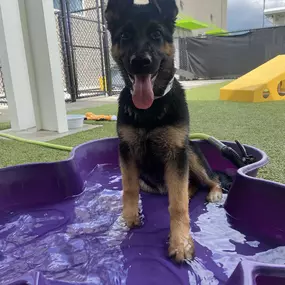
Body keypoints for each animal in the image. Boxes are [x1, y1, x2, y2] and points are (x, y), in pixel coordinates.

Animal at [104, 0, 222, 262]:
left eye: (156, 34)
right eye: (125, 35)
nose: (141, 61)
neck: (151, 108)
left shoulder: (177, 154)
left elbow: (178, 205)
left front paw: (180, 242)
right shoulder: (126, 151)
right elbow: (129, 189)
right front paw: (127, 221)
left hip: (191, 154)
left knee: (211, 180)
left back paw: (214, 193)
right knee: (186, 187)